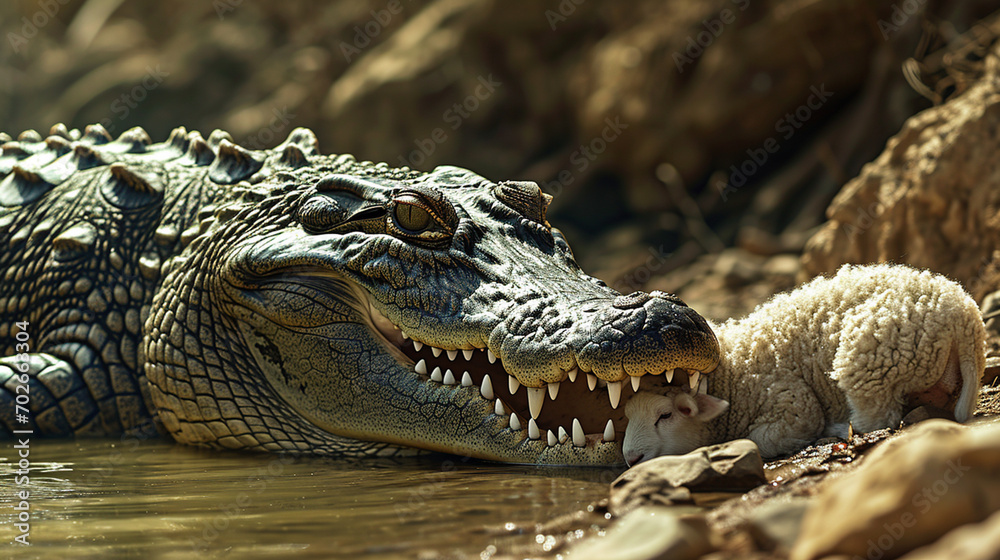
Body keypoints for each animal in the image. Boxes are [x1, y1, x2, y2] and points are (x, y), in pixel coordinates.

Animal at [622, 263, 986, 465]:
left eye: (666, 415)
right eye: (627, 416)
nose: (631, 458)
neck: (732, 371)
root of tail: (964, 315)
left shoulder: (790, 401)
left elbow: (761, 440)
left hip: (871, 358)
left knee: (878, 419)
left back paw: (840, 429)